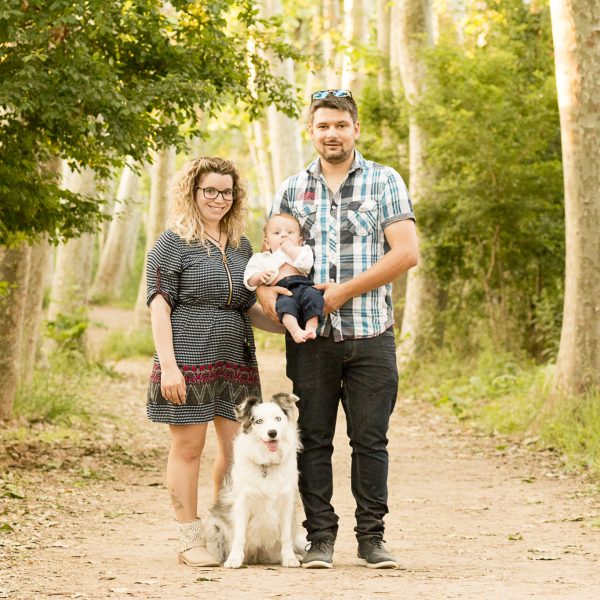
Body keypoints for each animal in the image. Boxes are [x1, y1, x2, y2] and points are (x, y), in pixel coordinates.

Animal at [205, 394, 304, 568]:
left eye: (278, 418)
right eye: (259, 421)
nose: (272, 433)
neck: (266, 464)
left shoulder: (287, 503)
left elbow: (285, 536)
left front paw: (290, 558)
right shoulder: (242, 502)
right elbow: (239, 536)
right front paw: (234, 559)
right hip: (213, 524)